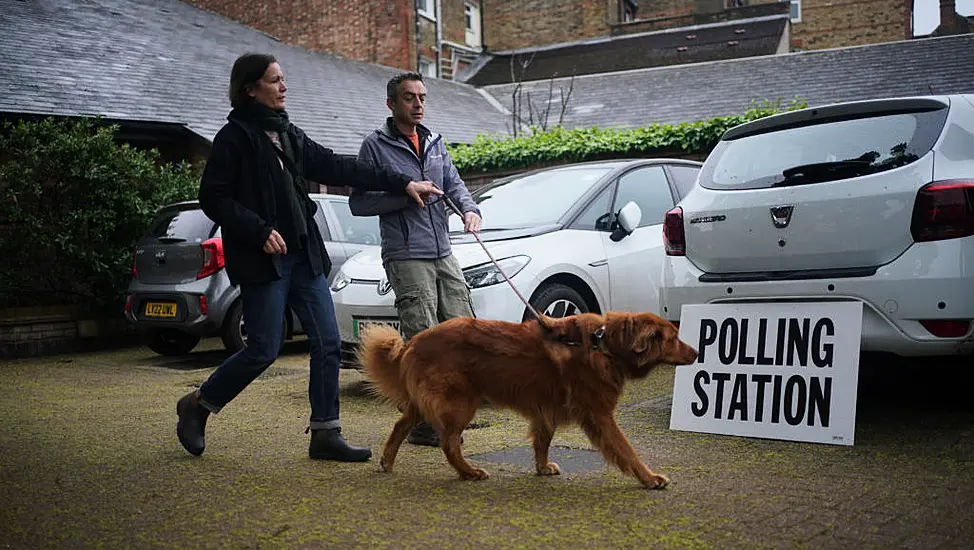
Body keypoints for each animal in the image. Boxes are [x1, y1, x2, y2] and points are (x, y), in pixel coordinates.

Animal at [358, 314, 700, 492]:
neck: (605, 344)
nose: (697, 352)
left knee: (401, 424)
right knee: (448, 443)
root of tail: (414, 341)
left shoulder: (546, 407)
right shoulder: (600, 414)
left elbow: (543, 441)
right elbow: (626, 449)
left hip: (427, 401)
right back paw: (469, 472)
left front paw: (541, 467)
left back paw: (387, 461)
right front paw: (649, 478)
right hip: (461, 403)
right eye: (674, 338)